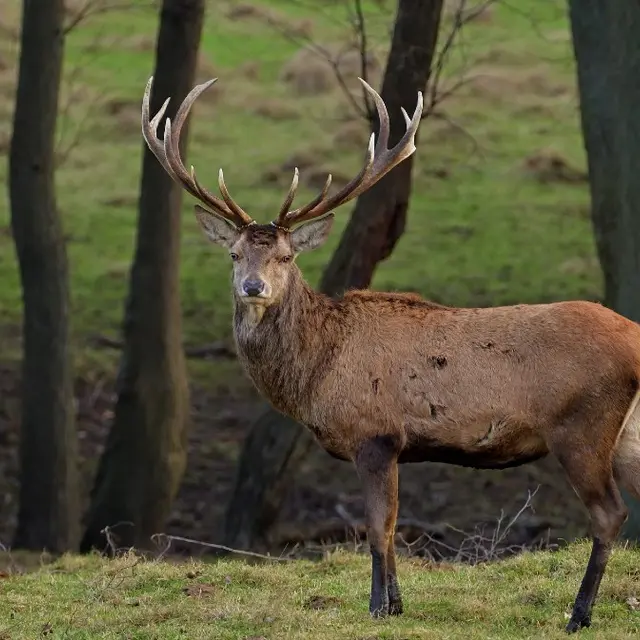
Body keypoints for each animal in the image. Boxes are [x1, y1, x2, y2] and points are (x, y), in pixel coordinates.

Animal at [141, 75, 640, 634]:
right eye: (234, 254)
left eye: (286, 257)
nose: (253, 287)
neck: (317, 373)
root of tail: (635, 338)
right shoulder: (396, 445)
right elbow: (394, 523)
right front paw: (398, 604)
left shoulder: (375, 433)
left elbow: (378, 528)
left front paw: (378, 607)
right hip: (627, 434)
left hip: (582, 425)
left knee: (610, 513)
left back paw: (579, 614)